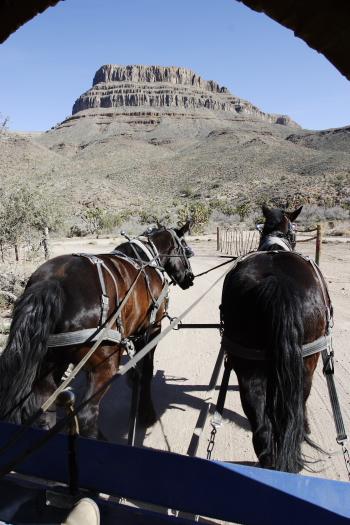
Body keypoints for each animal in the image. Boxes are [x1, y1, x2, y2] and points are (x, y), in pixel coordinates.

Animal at [0, 223, 194, 436]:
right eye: (185, 248)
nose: (190, 278)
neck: (146, 259)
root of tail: (52, 283)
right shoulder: (150, 330)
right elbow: (146, 372)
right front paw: (147, 414)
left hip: (49, 364)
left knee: (44, 409)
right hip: (104, 363)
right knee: (87, 414)